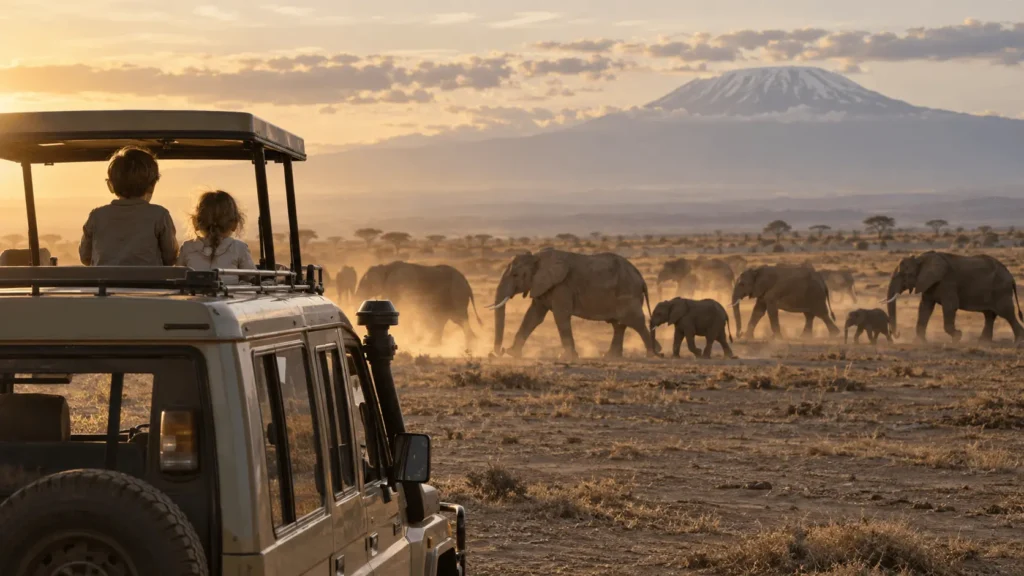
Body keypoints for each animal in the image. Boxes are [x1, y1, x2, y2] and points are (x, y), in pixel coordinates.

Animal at [490, 249, 658, 360]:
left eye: (515, 275)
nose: (497, 352)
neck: (537, 258)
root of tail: (641, 279)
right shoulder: (543, 285)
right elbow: (533, 316)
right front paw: (512, 353)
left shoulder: (561, 286)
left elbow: (561, 316)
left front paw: (566, 357)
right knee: (619, 324)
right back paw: (610, 356)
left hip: (628, 293)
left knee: (636, 322)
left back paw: (651, 354)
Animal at [884, 251, 1023, 343]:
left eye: (904, 275)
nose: (897, 333)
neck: (921, 259)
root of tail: (1011, 277)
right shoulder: (929, 283)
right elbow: (925, 307)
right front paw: (920, 342)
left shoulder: (947, 281)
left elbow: (950, 306)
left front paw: (958, 336)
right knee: (989, 315)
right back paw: (983, 342)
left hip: (1001, 289)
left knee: (1007, 313)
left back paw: (1018, 342)